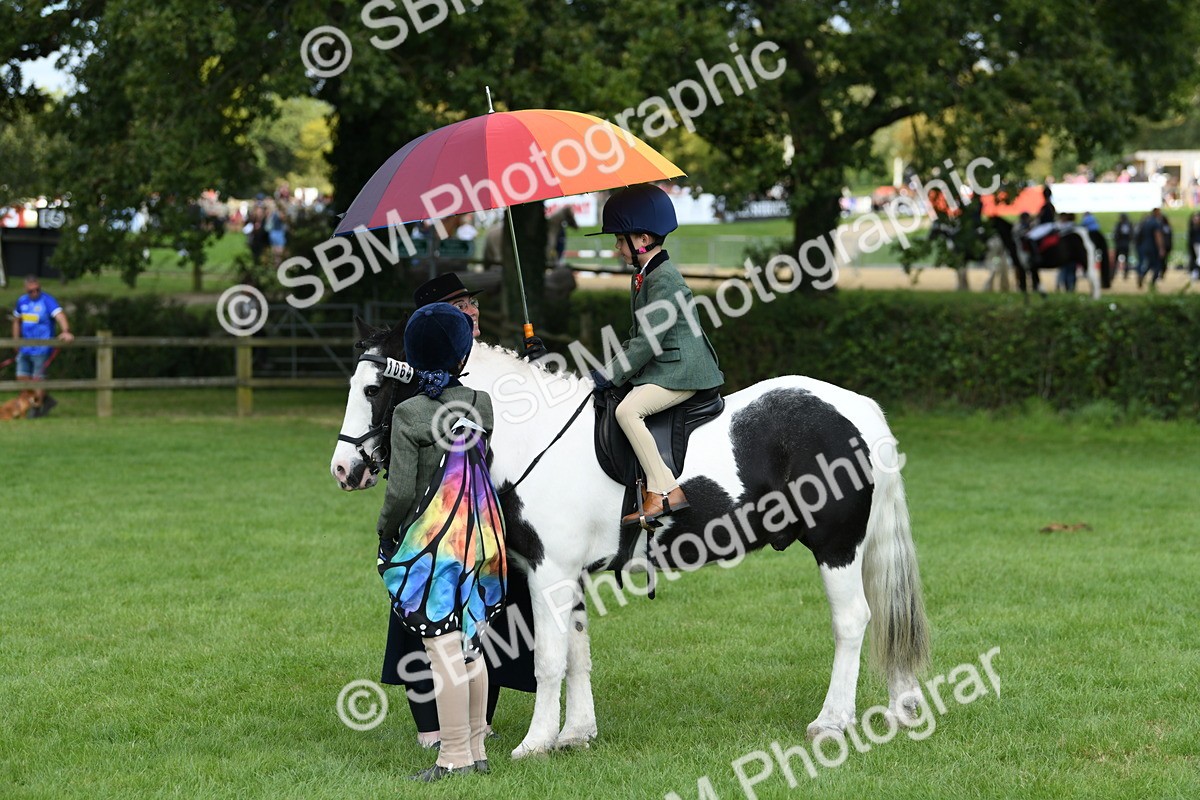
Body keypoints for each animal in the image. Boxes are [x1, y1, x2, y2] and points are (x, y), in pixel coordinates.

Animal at [330, 320, 931, 759]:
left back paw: (832, 722)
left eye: (373, 388)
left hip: (836, 548)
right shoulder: (568, 578)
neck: (534, 437)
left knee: (853, 621)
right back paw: (899, 710)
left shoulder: (549, 575)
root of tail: (857, 411)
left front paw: (535, 744)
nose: (343, 468)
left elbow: (549, 661)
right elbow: (577, 655)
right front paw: (575, 734)